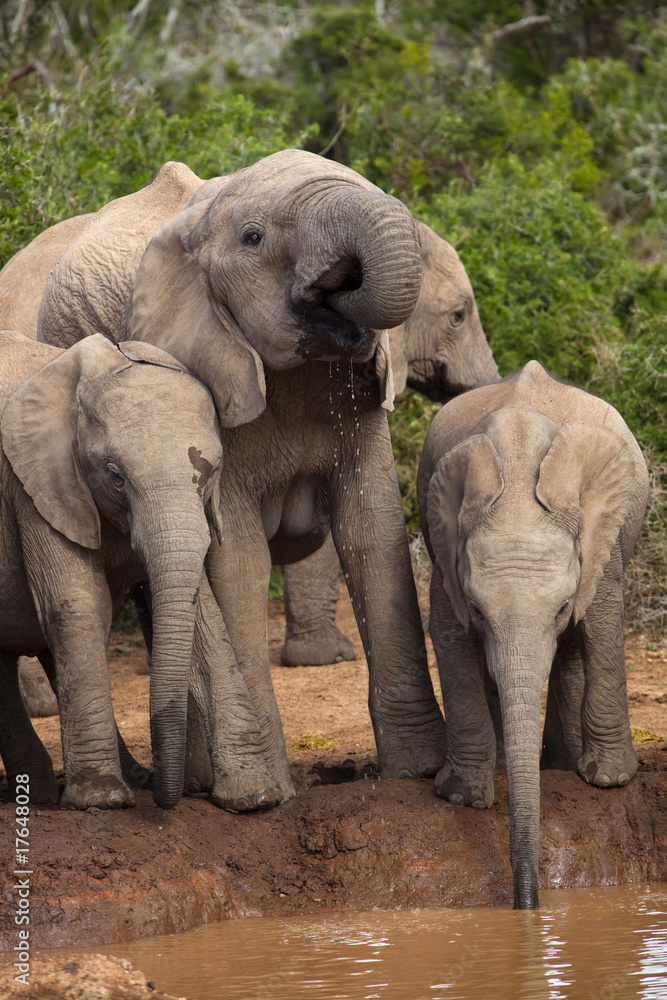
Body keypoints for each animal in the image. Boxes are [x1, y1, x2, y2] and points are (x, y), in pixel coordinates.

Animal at [0, 330, 279, 812]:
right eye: (115, 476)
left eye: (213, 472)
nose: (173, 797)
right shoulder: (34, 486)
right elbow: (78, 604)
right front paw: (102, 800)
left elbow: (203, 615)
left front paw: (256, 797)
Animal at [32, 149, 448, 801]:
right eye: (254, 239)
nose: (343, 279)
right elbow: (240, 559)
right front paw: (272, 794)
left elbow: (372, 530)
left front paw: (418, 773)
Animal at [417, 360, 649, 909]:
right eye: (478, 612)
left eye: (561, 608)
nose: (527, 905)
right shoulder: (446, 547)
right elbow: (449, 634)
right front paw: (463, 795)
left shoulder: (599, 541)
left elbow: (602, 623)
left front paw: (610, 780)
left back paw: (568, 767)